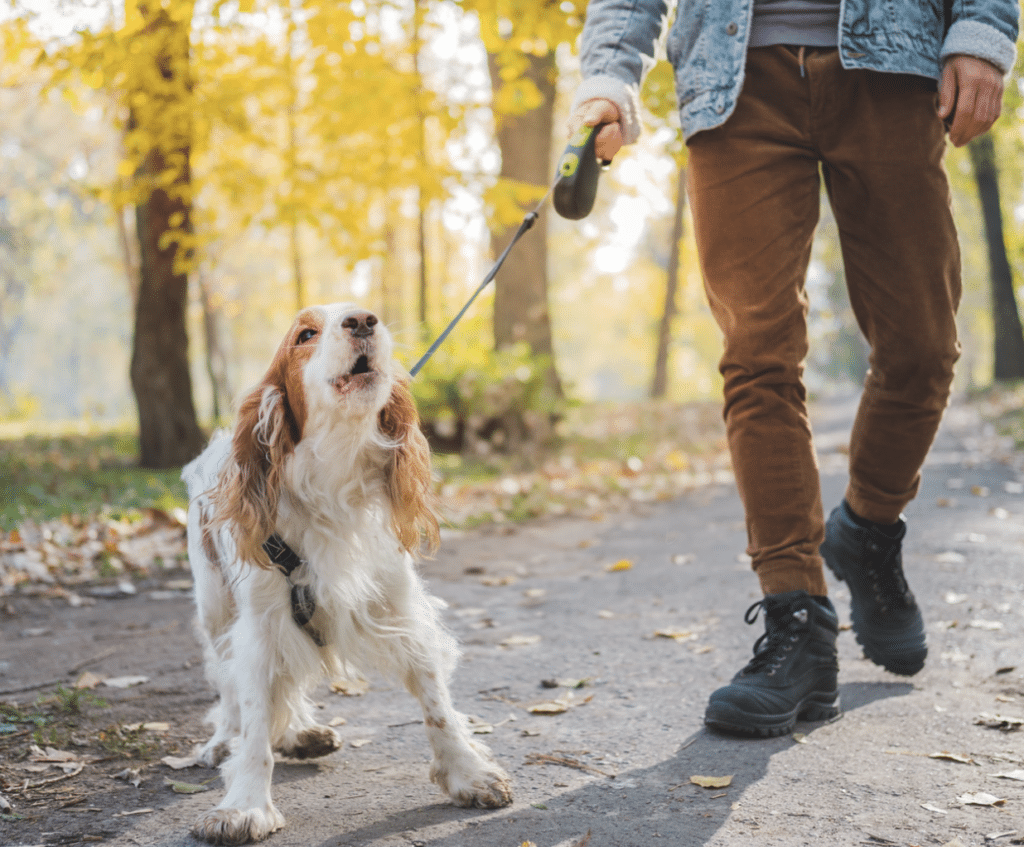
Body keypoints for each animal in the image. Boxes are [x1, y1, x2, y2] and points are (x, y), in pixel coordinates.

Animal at [182, 303, 512, 839]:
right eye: (305, 334)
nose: (362, 320)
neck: (333, 479)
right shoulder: (261, 625)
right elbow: (254, 720)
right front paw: (244, 805)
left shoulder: (399, 608)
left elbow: (437, 705)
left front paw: (468, 773)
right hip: (216, 609)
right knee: (229, 687)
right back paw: (224, 740)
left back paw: (301, 733)